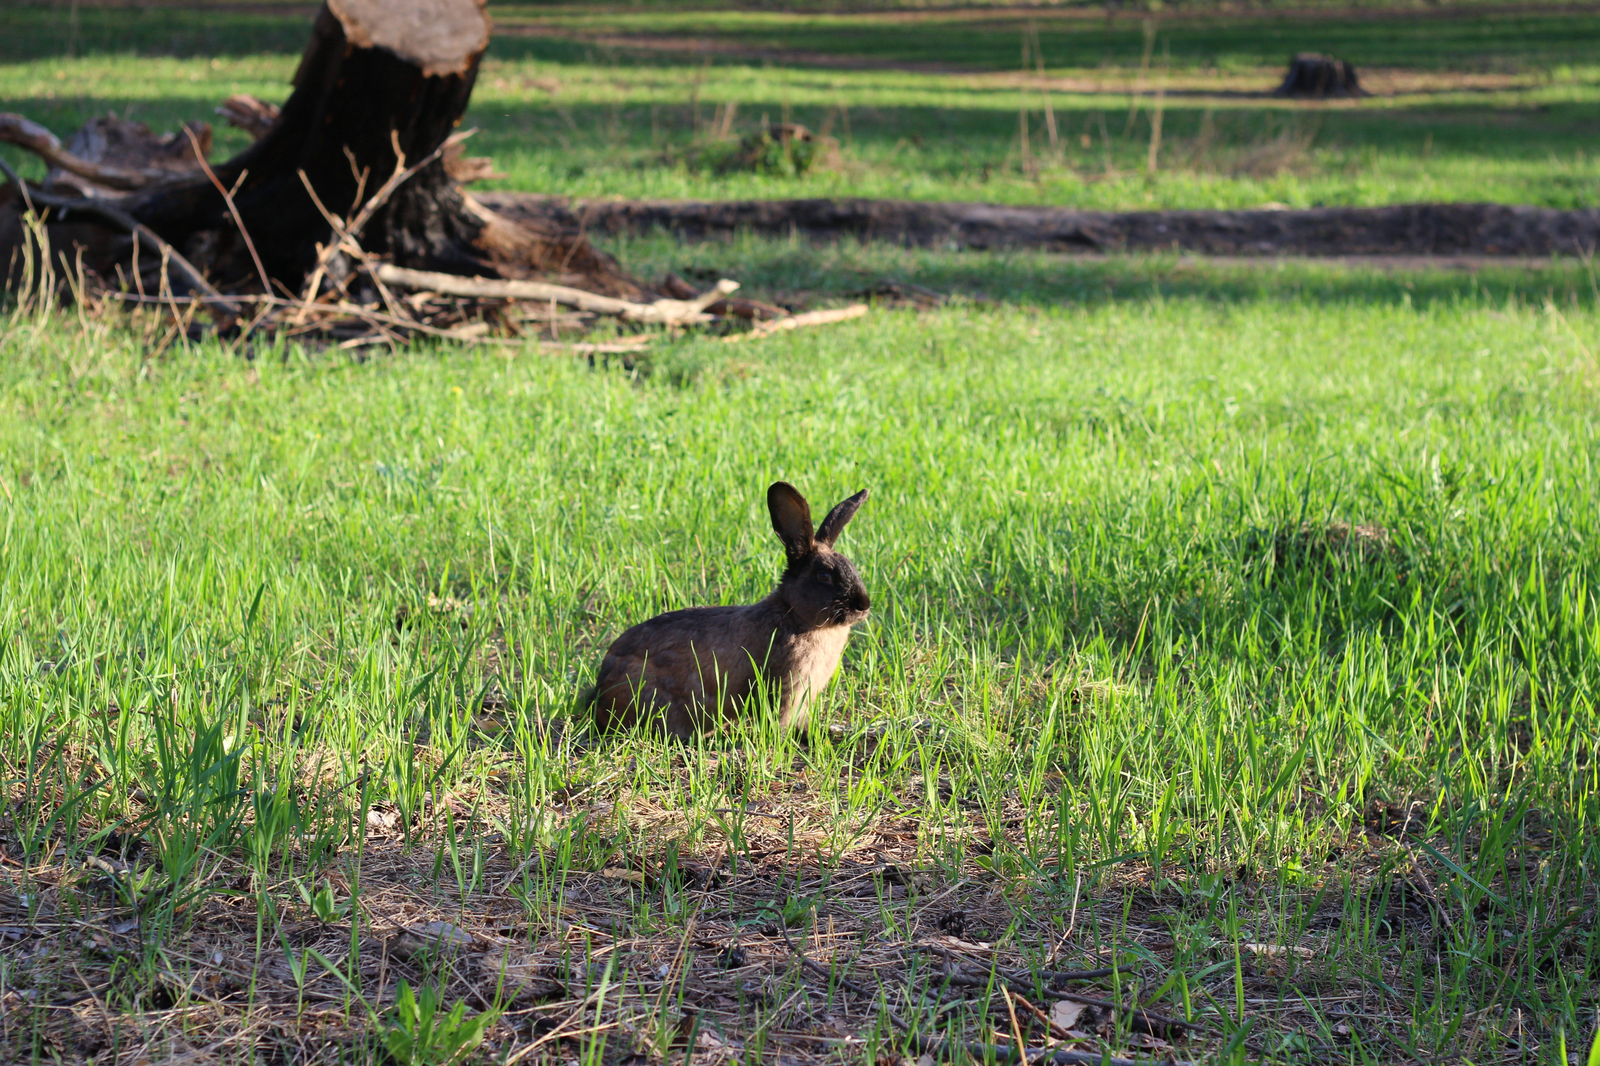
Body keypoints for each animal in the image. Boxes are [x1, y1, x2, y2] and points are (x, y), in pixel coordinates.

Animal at [588, 480, 870, 736]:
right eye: (824, 576)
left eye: (852, 566)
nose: (864, 605)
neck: (794, 613)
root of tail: (600, 694)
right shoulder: (785, 686)